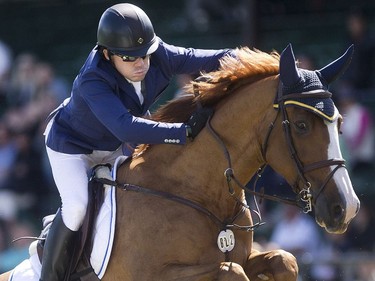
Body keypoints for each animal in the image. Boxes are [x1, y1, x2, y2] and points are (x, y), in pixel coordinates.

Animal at [0, 44, 362, 280]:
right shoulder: (152, 275)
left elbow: (284, 261)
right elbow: (231, 271)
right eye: (301, 126)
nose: (346, 208)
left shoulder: (249, 256)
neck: (200, 193)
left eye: (340, 124)